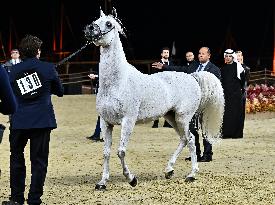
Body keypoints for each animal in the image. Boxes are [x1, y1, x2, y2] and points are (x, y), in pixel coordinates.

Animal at [85, 8, 225, 191]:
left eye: (109, 24)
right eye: (96, 20)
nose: (89, 29)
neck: (118, 82)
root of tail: (192, 77)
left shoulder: (128, 121)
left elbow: (121, 151)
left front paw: (132, 179)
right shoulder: (106, 122)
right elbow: (106, 152)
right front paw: (102, 182)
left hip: (183, 118)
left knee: (191, 140)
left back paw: (191, 174)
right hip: (171, 117)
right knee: (184, 139)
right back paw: (169, 170)